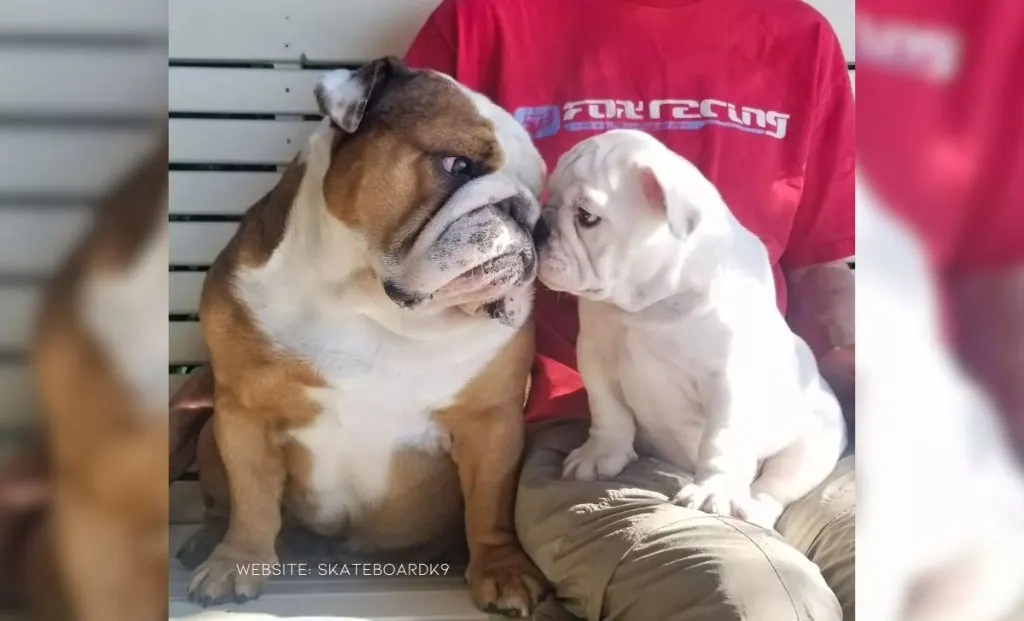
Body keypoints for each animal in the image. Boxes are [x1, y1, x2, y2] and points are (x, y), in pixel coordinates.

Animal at [536, 129, 847, 528]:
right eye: (550, 197)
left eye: (586, 216)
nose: (539, 225)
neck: (647, 305)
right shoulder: (594, 355)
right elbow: (608, 408)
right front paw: (600, 454)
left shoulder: (731, 380)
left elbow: (723, 437)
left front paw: (715, 491)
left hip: (815, 442)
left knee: (774, 486)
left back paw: (756, 509)